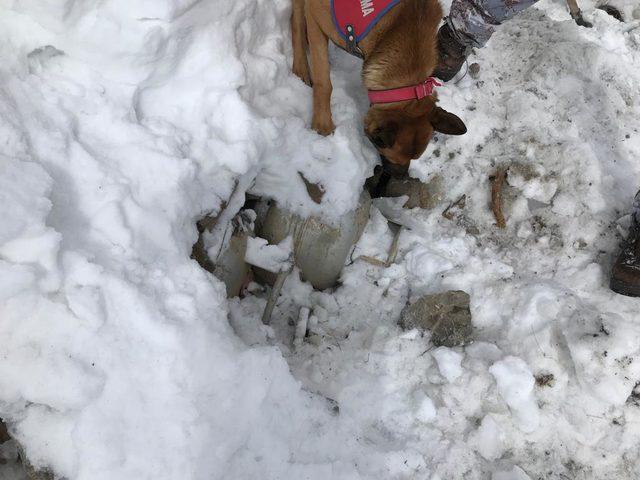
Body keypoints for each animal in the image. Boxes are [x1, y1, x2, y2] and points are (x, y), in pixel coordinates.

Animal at [292, 0, 468, 174]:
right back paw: (301, 67)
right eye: (390, 156)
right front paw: (323, 123)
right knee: (296, 18)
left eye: (415, 158)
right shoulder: (316, 17)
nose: (401, 177)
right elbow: (323, 82)